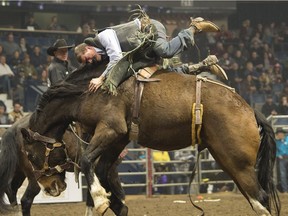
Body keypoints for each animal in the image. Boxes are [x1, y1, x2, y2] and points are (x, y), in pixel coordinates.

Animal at [19, 61, 280, 215]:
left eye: (31, 154)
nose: (52, 187)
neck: (88, 92)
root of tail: (249, 109)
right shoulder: (119, 139)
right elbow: (101, 170)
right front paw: (115, 203)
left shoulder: (110, 129)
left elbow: (86, 162)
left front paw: (101, 200)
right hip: (227, 160)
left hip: (238, 163)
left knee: (260, 199)